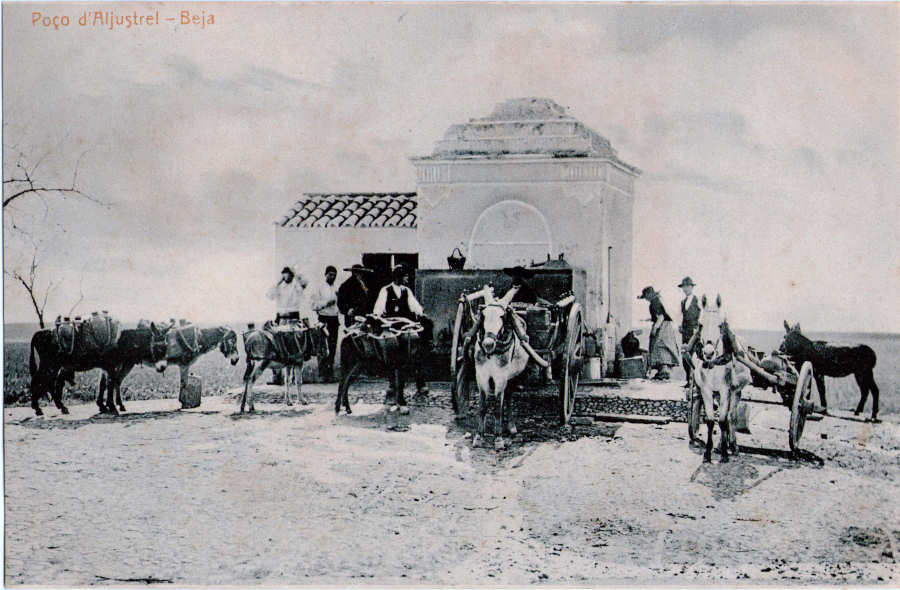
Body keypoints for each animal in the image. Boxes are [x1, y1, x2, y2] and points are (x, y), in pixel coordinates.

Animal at [471, 289, 530, 450]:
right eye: (483, 315)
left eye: (502, 317)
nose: (488, 344)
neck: (492, 354)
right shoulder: (481, 377)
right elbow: (483, 406)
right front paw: (479, 436)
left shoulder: (501, 377)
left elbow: (498, 406)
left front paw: (498, 439)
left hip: (512, 376)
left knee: (508, 398)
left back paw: (511, 426)